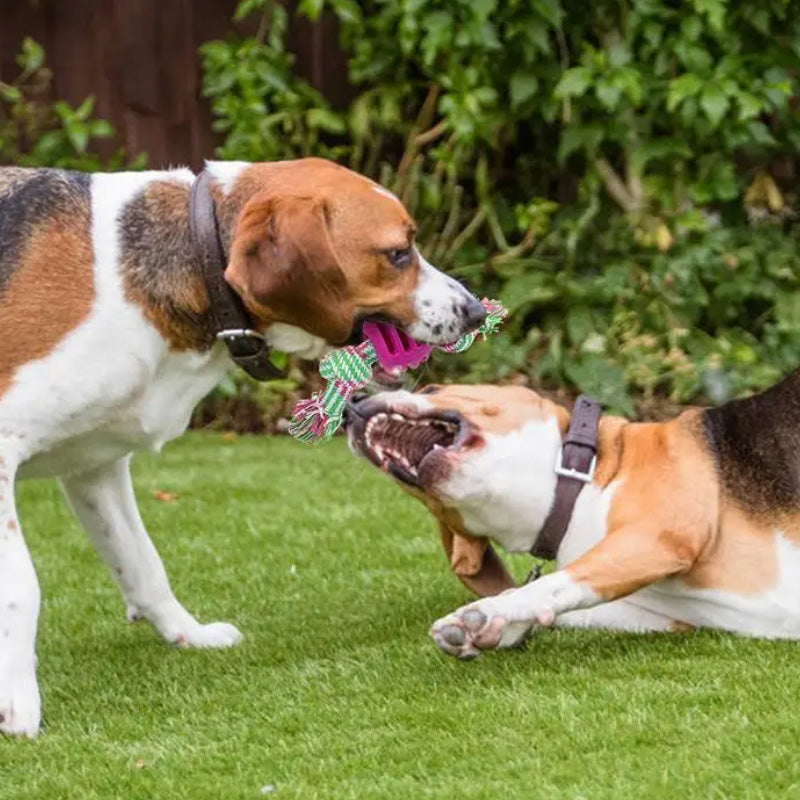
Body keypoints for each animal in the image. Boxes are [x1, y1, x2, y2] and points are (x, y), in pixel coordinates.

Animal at [0, 158, 488, 736]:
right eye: (398, 254)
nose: (476, 311)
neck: (192, 257)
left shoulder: (95, 468)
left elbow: (141, 561)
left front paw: (187, 634)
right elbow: (21, 588)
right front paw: (18, 700)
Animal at [348, 378, 800, 660]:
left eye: (432, 388)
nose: (350, 405)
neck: (581, 476)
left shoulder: (658, 536)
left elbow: (552, 585)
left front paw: (490, 613)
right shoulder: (669, 616)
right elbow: (559, 605)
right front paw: (489, 625)